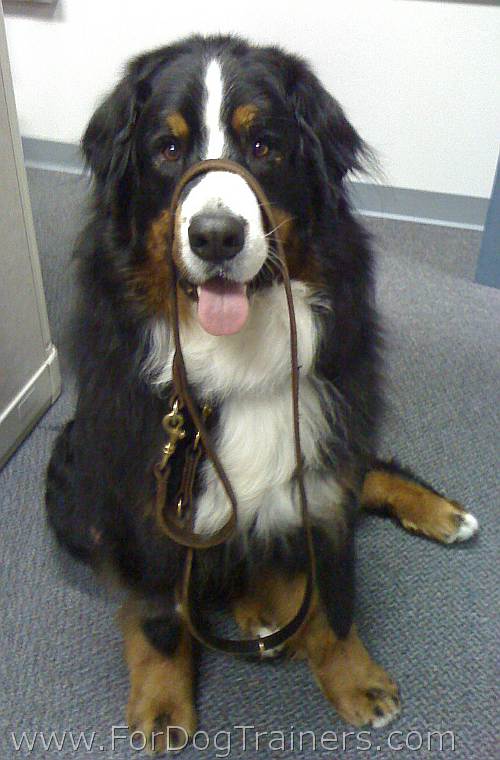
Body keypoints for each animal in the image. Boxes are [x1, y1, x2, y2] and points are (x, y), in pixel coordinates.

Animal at [45, 34, 478, 756]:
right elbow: (160, 614)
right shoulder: (143, 494)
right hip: (74, 496)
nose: (216, 235)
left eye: (264, 145)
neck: (239, 355)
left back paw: (438, 514)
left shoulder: (324, 457)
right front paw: (162, 706)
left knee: (364, 475)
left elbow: (336, 598)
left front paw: (355, 680)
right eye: (168, 148)